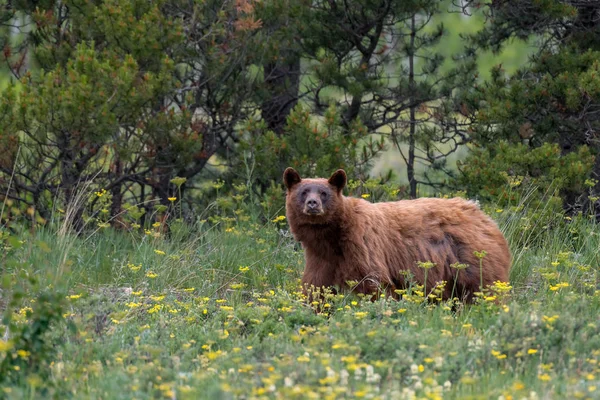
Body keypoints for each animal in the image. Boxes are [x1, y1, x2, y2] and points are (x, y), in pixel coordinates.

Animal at [282, 167, 510, 302]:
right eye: (304, 192)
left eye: (324, 193)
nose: (313, 203)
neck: (332, 237)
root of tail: (483, 215)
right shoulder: (320, 257)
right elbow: (315, 285)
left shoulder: (362, 245)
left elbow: (373, 282)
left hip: (470, 258)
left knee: (481, 287)